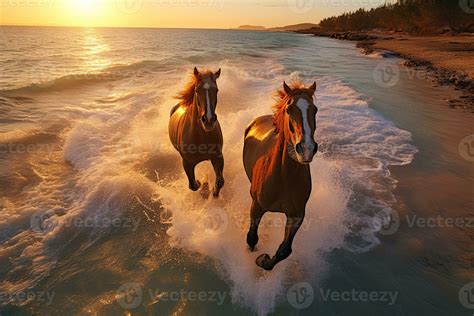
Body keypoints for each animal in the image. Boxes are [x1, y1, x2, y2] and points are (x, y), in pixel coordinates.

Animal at [168, 67, 224, 198]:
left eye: (216, 90)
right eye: (197, 90)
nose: (208, 119)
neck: (202, 136)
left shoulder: (218, 157)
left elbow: (220, 182)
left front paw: (213, 192)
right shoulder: (187, 163)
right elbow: (193, 185)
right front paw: (202, 184)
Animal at [244, 80, 318, 270]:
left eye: (314, 109)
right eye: (289, 110)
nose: (306, 149)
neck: (284, 176)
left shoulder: (297, 215)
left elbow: (285, 250)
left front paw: (263, 260)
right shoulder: (256, 206)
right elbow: (252, 238)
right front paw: (254, 257)